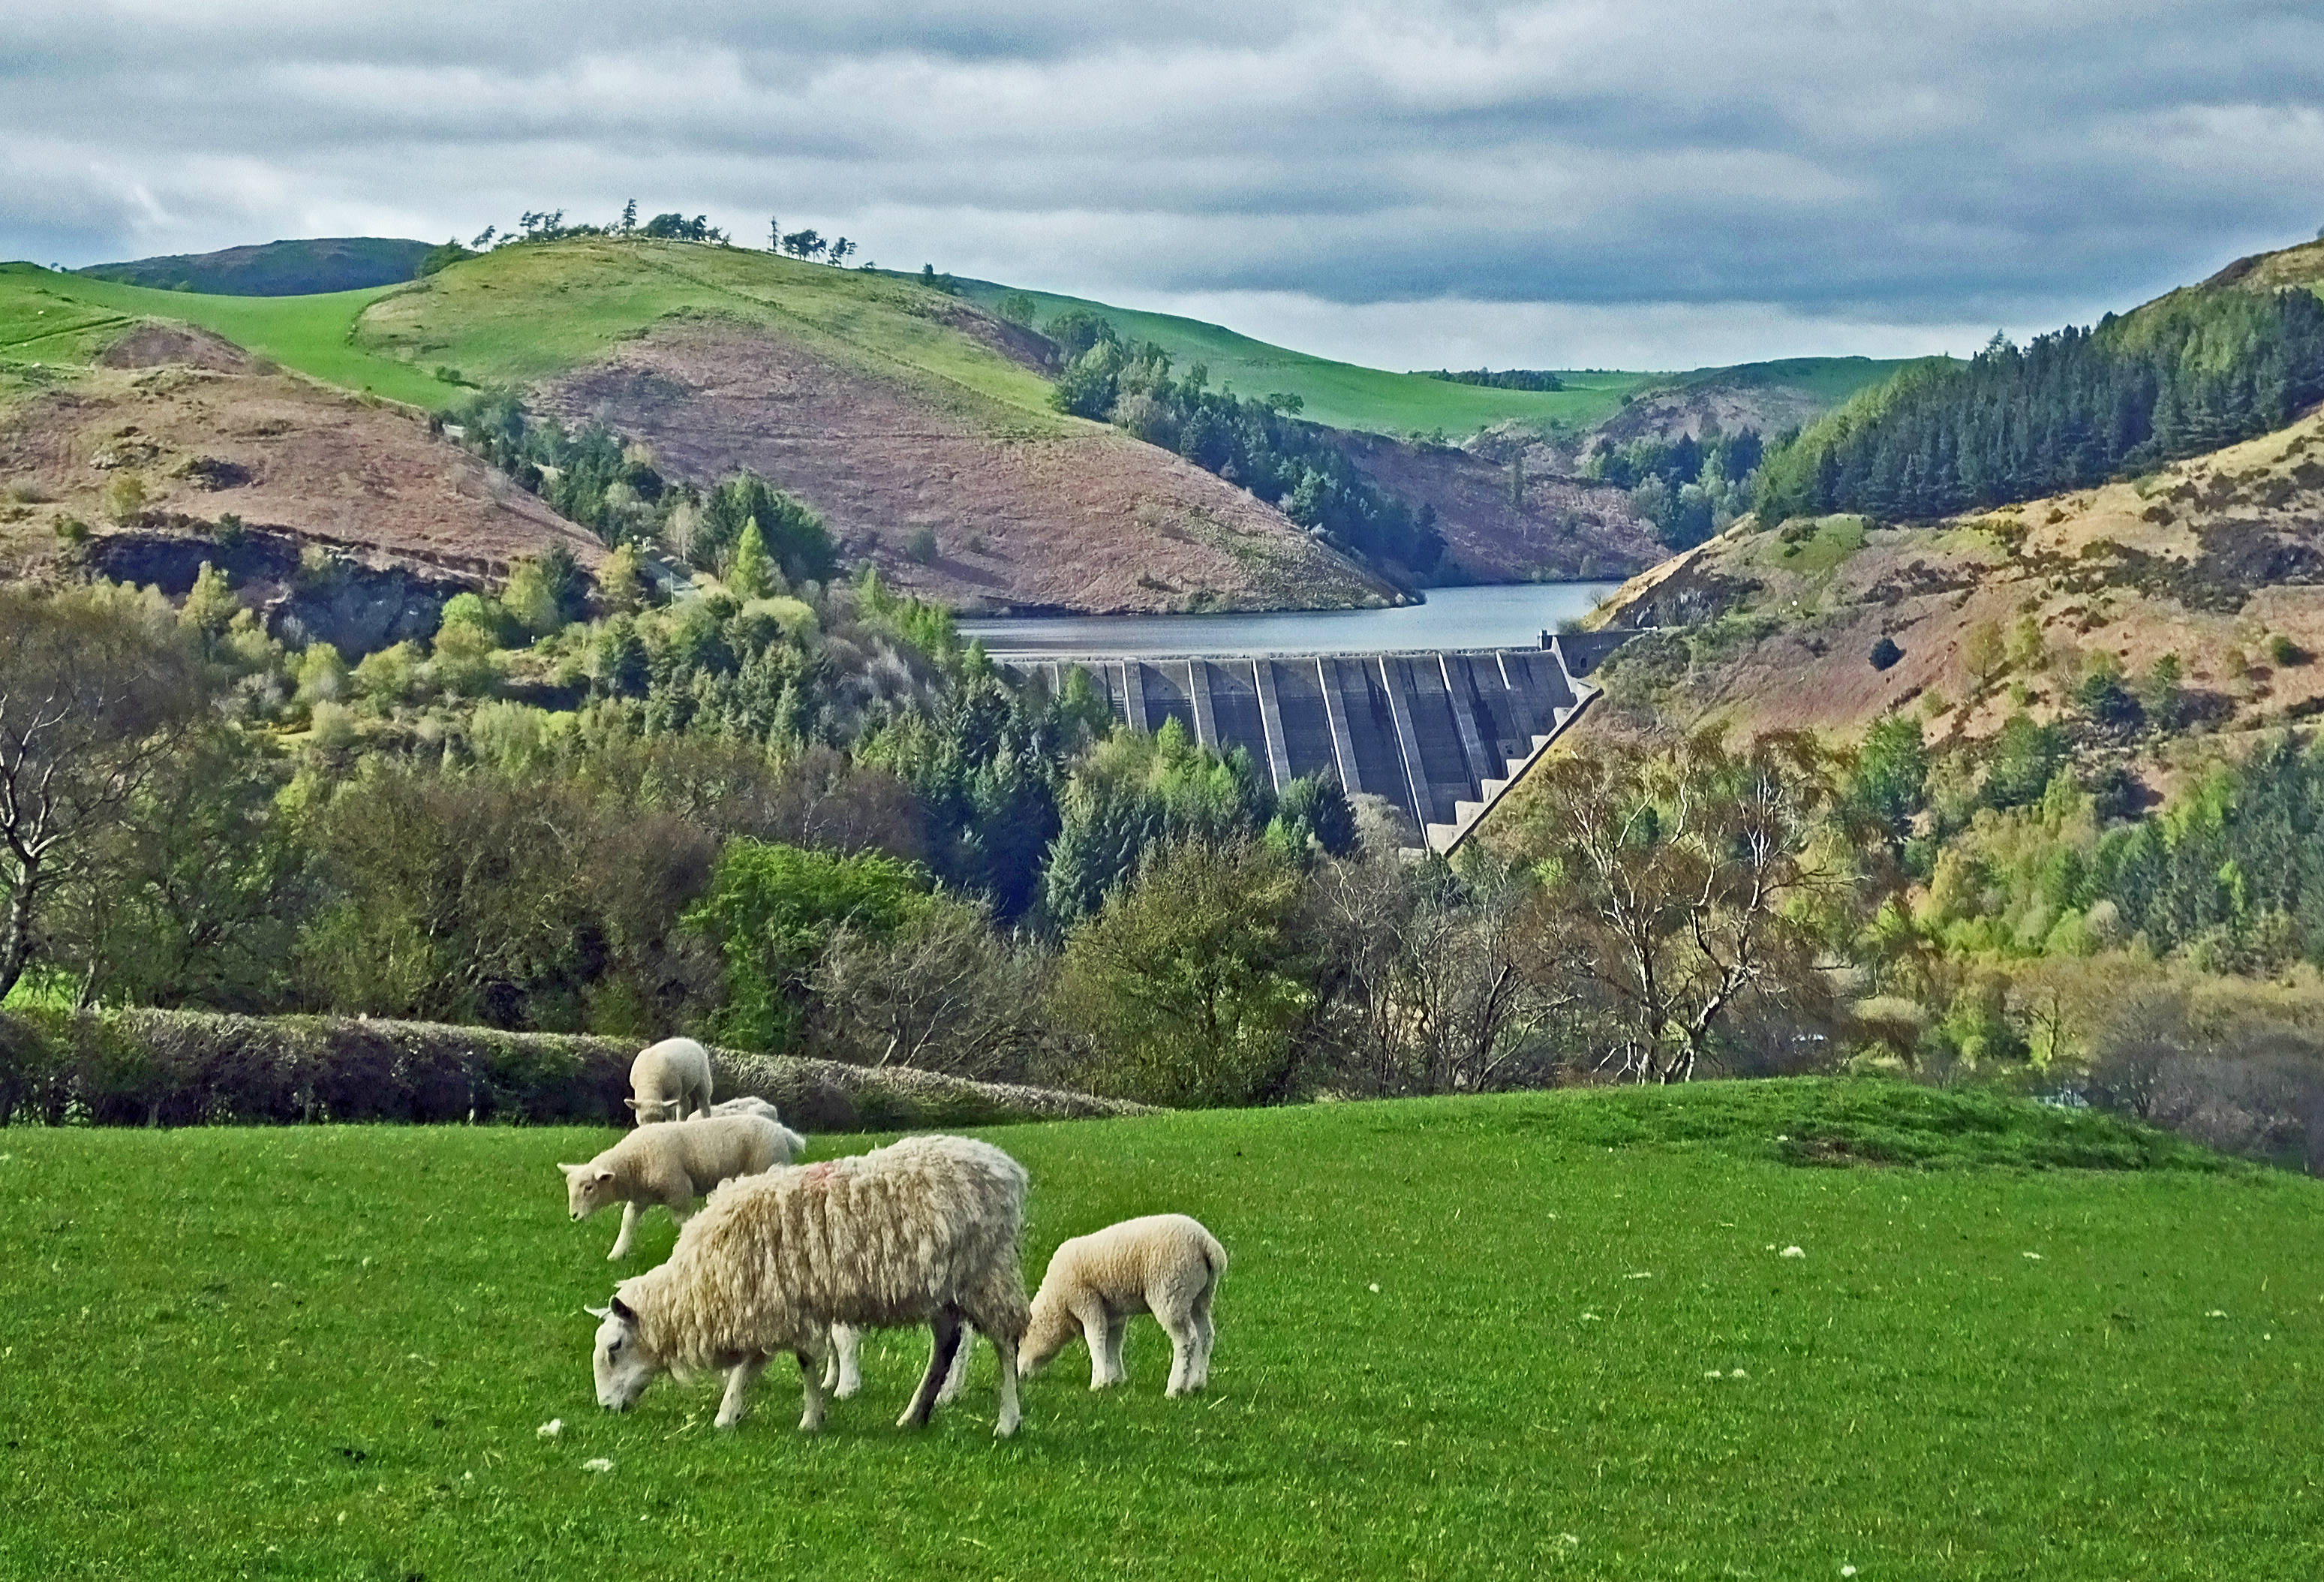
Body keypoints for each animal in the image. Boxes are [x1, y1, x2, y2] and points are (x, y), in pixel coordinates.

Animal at [555, 1110, 804, 1254]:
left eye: (589, 1188)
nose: (573, 1216)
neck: (636, 1160)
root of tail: (784, 1133)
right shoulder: (641, 1197)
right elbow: (628, 1220)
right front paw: (617, 1253)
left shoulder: (680, 1190)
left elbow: (681, 1221)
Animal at [585, 1129, 1032, 1440]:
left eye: (614, 1347)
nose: (606, 1408)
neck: (697, 1284)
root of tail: (1004, 1165)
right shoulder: (770, 1306)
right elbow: (763, 1364)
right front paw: (737, 1413)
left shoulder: (778, 1305)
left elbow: (791, 1363)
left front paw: (801, 1418)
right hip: (944, 1288)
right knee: (947, 1342)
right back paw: (915, 1415)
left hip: (986, 1272)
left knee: (1005, 1343)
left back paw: (1008, 1420)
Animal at [1022, 1208, 1227, 1394]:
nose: (1021, 1376)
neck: (1056, 1303)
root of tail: (1206, 1243)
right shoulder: (1114, 1312)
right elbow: (1113, 1342)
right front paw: (1114, 1379)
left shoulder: (1086, 1301)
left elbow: (1096, 1338)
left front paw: (1098, 1382)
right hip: (1200, 1296)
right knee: (1205, 1335)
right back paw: (1196, 1384)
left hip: (1171, 1292)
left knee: (1186, 1340)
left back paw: (1175, 1388)